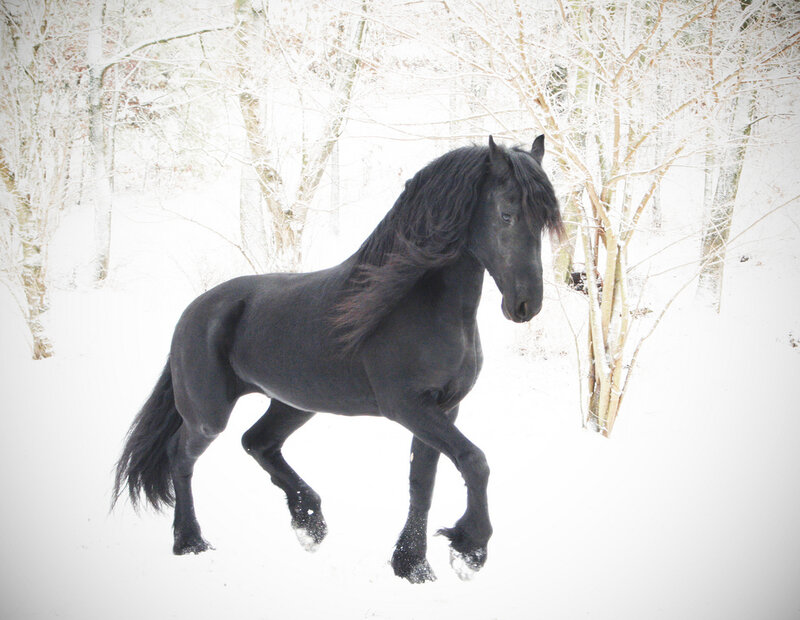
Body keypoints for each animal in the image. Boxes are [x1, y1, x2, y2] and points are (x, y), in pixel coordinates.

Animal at [113, 135, 562, 583]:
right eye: (506, 215)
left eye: (543, 222)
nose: (526, 305)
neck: (414, 304)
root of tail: (194, 311)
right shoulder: (408, 407)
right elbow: (475, 461)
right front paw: (469, 550)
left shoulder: (443, 409)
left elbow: (422, 483)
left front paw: (412, 565)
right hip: (208, 416)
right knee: (181, 456)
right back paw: (190, 541)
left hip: (294, 403)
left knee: (257, 442)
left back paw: (309, 522)